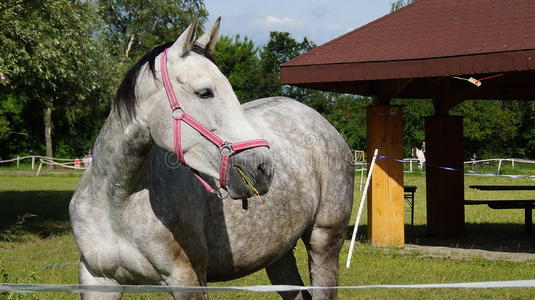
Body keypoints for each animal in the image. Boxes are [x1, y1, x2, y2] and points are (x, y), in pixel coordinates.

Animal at [70, 17, 356, 298]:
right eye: (204, 92)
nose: (262, 168)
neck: (117, 201)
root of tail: (321, 122)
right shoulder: (98, 281)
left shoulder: (188, 281)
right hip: (279, 253)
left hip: (323, 241)